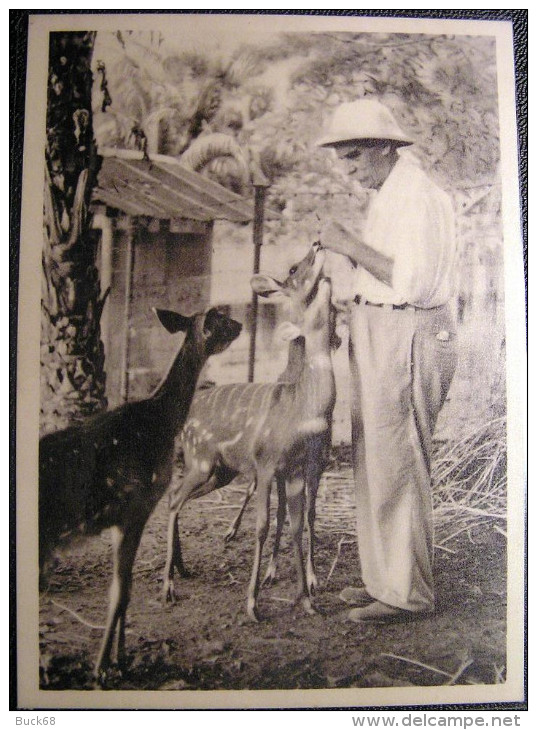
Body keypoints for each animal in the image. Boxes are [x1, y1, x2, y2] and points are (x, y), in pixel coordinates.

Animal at [40, 304, 242, 680]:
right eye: (219, 318)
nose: (240, 324)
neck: (159, 424)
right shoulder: (135, 505)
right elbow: (119, 593)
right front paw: (102, 668)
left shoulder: (127, 516)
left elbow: (129, 588)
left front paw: (119, 657)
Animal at [161, 242, 336, 616]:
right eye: (294, 269)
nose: (318, 244)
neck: (303, 407)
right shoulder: (267, 464)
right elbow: (262, 526)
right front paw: (253, 603)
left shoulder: (297, 469)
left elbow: (296, 524)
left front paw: (306, 600)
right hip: (201, 460)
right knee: (174, 499)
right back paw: (168, 586)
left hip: (220, 471)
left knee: (175, 496)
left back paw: (181, 569)